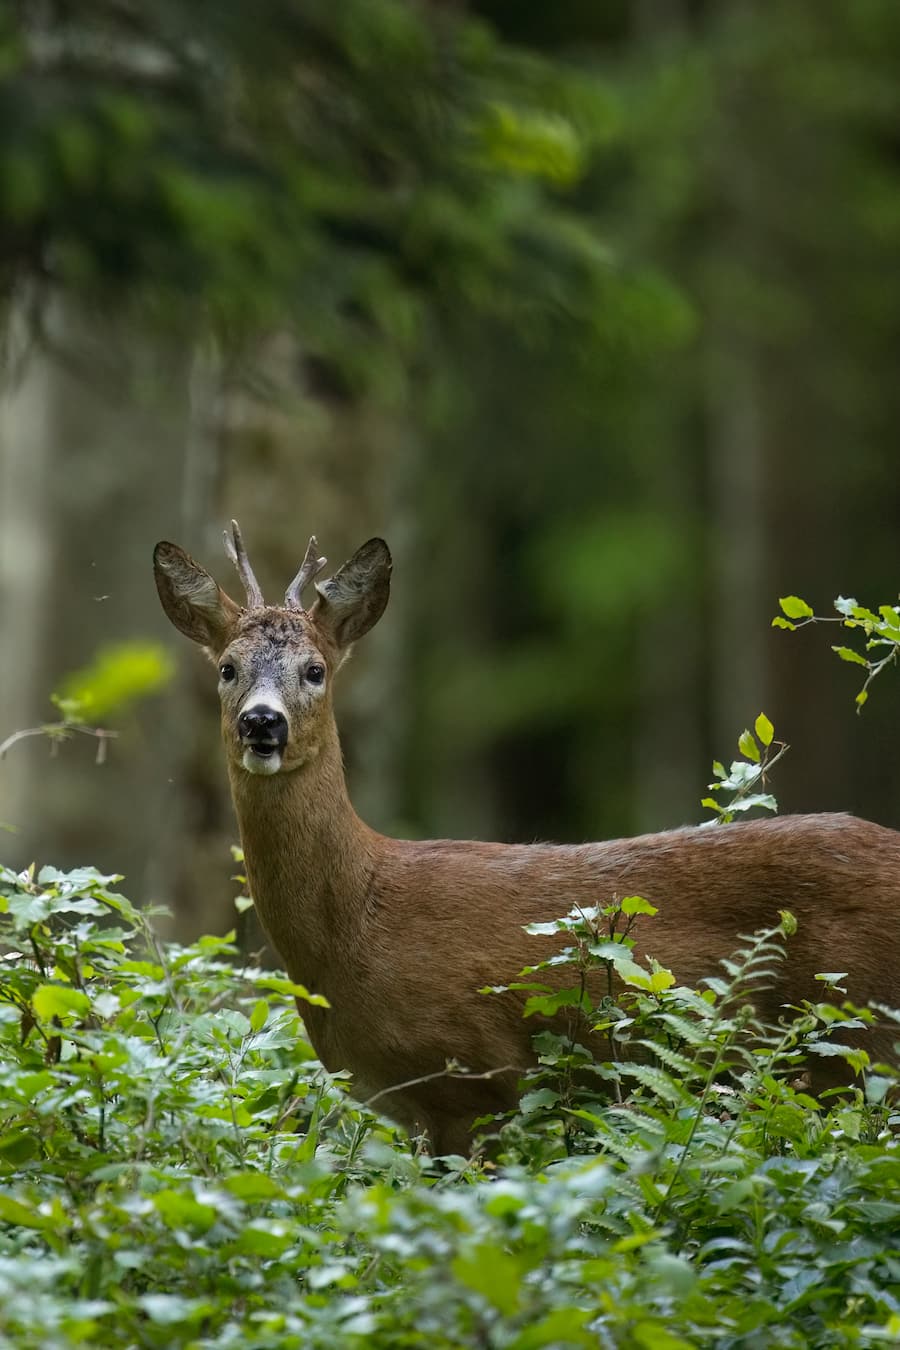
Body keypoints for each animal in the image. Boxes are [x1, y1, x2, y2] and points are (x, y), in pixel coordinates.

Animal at [154, 523, 900, 1155]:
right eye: (227, 667)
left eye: (315, 669)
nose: (262, 723)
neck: (356, 925)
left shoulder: (473, 1077)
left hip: (862, 1033)